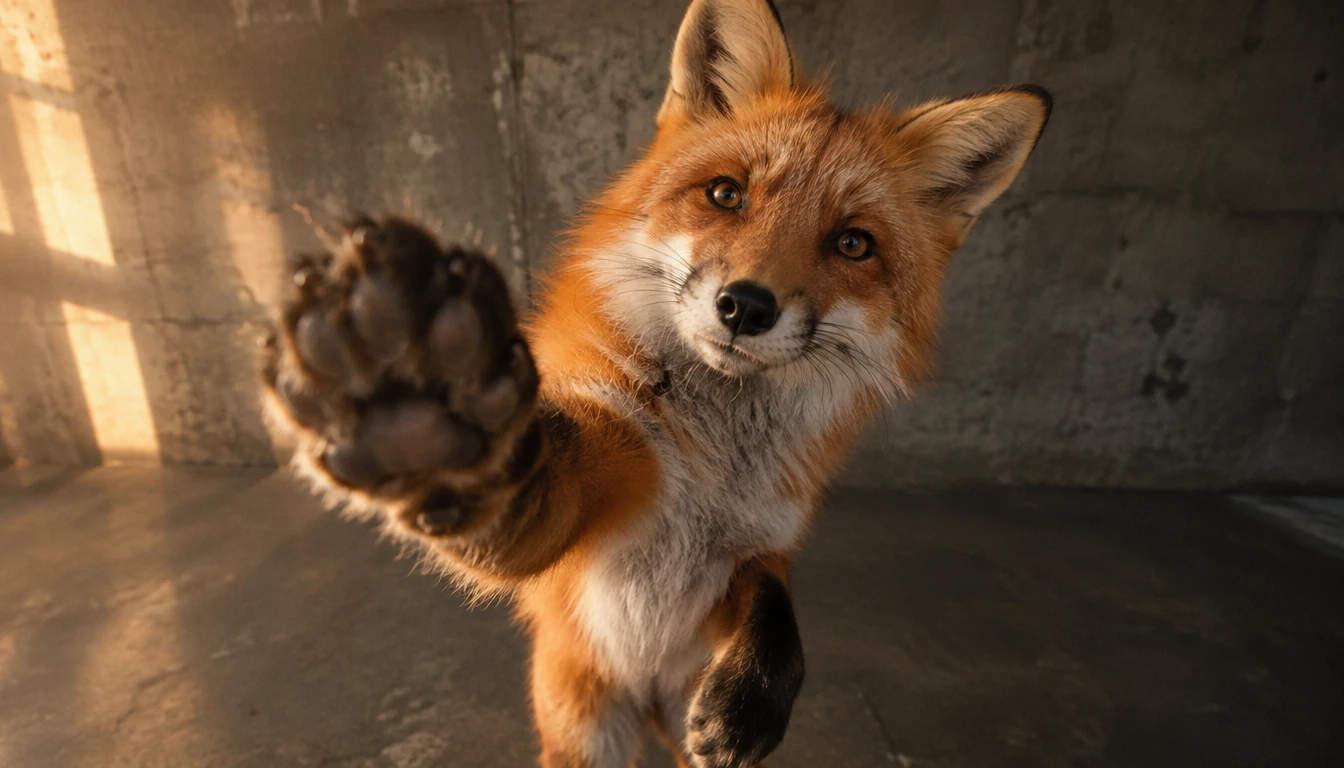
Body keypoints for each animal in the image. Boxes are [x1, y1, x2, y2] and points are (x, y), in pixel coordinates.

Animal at [259, 0, 1051, 765]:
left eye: (853, 243)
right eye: (726, 194)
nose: (746, 306)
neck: (716, 464)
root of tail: (643, 702)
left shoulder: (757, 549)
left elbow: (778, 614)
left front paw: (751, 701)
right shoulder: (583, 499)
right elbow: (521, 494)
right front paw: (421, 425)